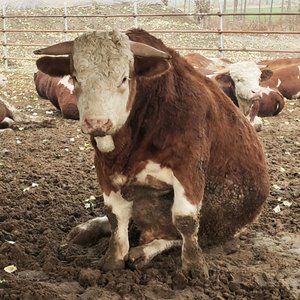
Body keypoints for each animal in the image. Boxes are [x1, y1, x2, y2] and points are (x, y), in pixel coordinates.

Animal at [33, 28, 270, 278]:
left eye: (124, 78)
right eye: (76, 77)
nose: (97, 123)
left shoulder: (189, 167)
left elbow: (185, 221)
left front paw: (194, 267)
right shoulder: (104, 167)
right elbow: (116, 215)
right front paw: (113, 260)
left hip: (226, 225)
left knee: (182, 235)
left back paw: (144, 252)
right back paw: (89, 228)